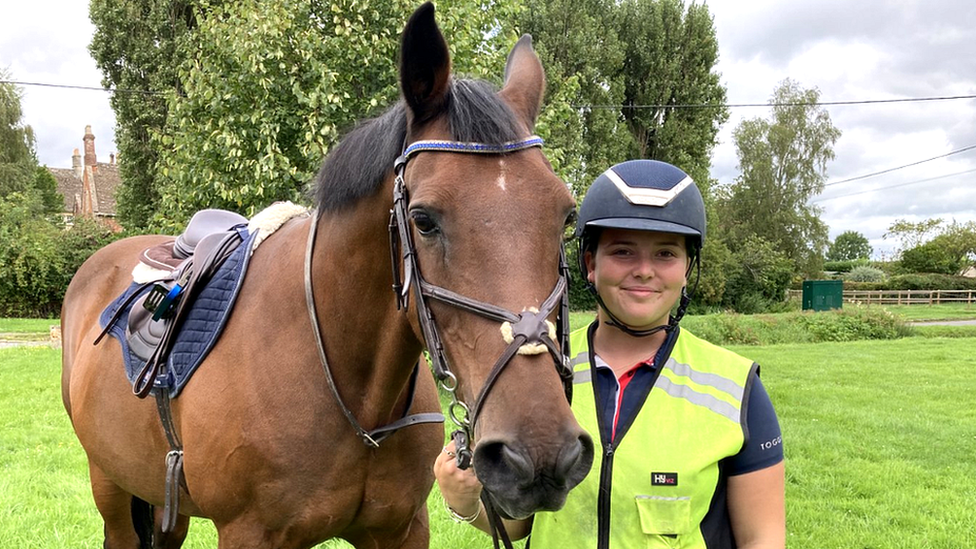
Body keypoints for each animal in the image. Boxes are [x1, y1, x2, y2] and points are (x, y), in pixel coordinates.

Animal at [65, 4, 596, 548]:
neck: (352, 394)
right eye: (423, 219)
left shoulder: (402, 528)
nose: (539, 453)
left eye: (566, 215)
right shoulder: (248, 532)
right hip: (110, 485)